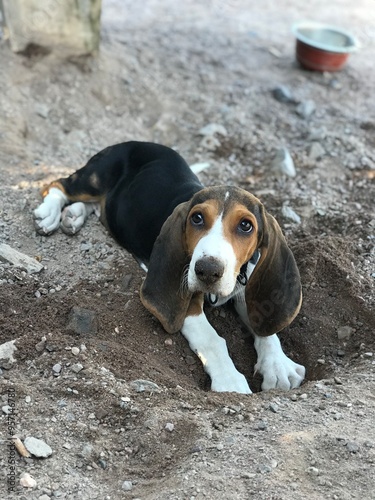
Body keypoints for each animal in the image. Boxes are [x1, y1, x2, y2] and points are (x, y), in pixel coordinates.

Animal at [33, 139, 306, 392]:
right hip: (92, 178)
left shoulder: (244, 284)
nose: (207, 271)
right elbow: (212, 339)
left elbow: (264, 323)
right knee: (58, 184)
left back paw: (74, 215)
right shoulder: (187, 301)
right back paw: (50, 214)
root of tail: (131, 142)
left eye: (246, 225)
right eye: (197, 218)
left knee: (96, 205)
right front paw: (230, 382)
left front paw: (278, 366)